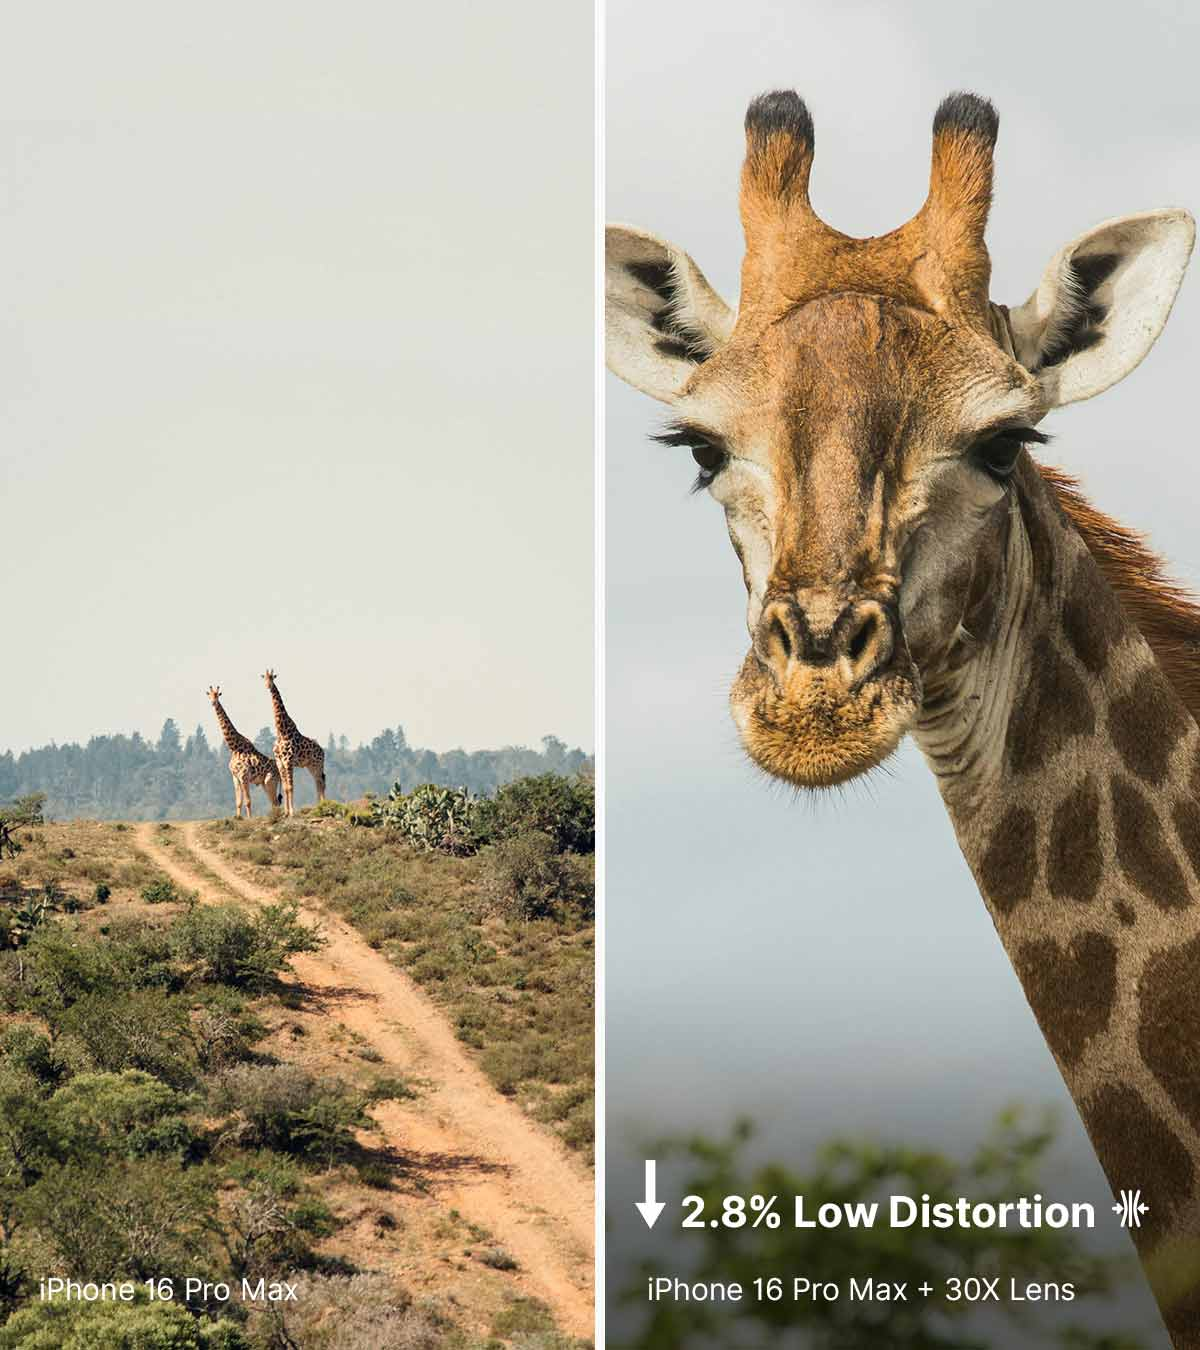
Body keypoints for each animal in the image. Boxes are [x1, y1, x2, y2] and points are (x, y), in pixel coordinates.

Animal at [206, 686, 282, 818]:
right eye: (209, 695)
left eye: (217, 694)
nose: (213, 703)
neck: (234, 747)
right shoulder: (235, 777)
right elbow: (238, 801)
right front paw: (238, 817)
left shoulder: (244, 776)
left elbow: (248, 801)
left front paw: (249, 818)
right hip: (264, 783)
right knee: (274, 802)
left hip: (270, 781)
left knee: (275, 802)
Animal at [262, 669, 326, 817]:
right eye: (264, 678)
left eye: (272, 678)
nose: (268, 686)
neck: (281, 732)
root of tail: (323, 751)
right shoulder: (280, 762)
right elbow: (285, 787)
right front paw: (286, 812)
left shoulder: (288, 761)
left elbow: (291, 786)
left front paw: (292, 812)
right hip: (311, 766)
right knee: (318, 782)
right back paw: (319, 806)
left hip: (318, 764)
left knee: (321, 782)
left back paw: (323, 805)